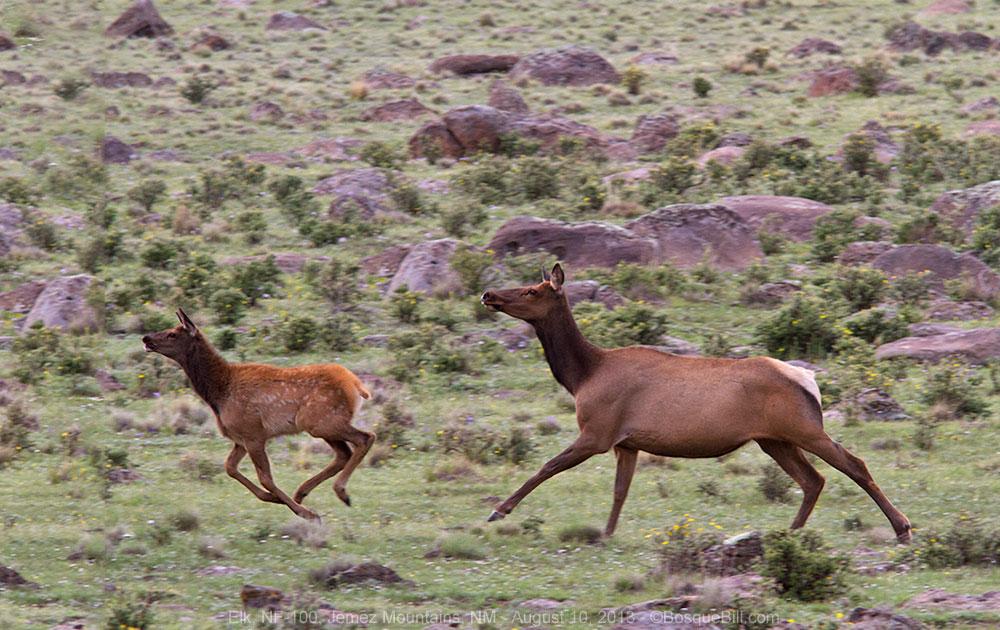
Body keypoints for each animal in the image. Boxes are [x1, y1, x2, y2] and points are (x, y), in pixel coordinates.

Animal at [141, 309, 374, 521]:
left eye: (172, 334)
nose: (146, 338)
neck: (219, 393)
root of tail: (357, 385)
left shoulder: (253, 433)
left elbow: (265, 478)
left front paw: (306, 513)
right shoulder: (240, 438)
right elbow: (230, 468)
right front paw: (278, 499)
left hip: (321, 422)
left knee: (366, 437)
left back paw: (341, 492)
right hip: (322, 425)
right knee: (343, 453)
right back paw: (302, 492)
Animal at [481, 264, 912, 542]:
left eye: (532, 290)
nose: (488, 293)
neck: (581, 375)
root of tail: (809, 382)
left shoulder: (597, 432)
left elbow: (546, 467)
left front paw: (499, 510)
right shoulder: (627, 443)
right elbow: (620, 490)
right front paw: (606, 533)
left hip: (804, 428)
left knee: (853, 464)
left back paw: (902, 527)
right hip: (774, 439)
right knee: (813, 479)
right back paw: (791, 533)